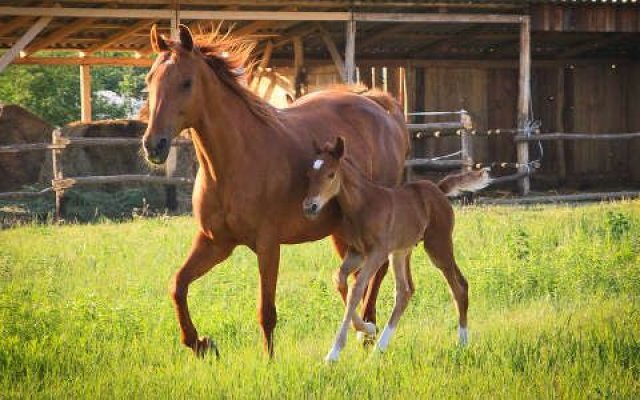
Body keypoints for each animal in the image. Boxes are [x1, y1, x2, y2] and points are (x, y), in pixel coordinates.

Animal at [304, 136, 490, 360]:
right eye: (308, 174)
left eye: (331, 174)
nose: (309, 206)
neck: (364, 205)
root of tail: (438, 189)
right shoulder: (358, 253)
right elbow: (339, 279)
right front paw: (367, 328)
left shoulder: (377, 253)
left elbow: (356, 290)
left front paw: (334, 352)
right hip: (400, 252)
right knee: (405, 291)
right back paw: (380, 348)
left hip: (438, 245)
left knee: (459, 286)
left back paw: (462, 342)